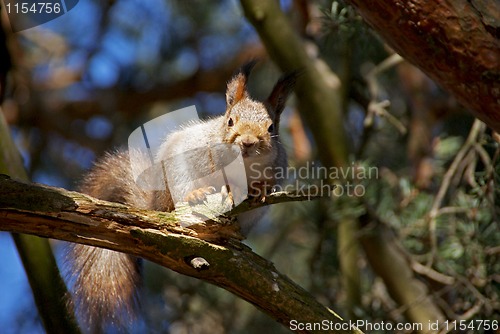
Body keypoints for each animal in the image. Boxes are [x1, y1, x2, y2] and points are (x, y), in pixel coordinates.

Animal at [66, 62, 298, 332]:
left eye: (271, 128)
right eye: (230, 121)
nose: (248, 142)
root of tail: (155, 204)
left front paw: (259, 189)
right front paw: (220, 190)